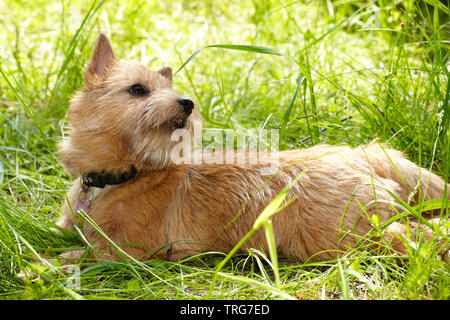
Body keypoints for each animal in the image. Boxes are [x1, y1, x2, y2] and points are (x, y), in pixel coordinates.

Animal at [57, 32, 450, 262]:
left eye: (172, 90)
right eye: (138, 89)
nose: (187, 103)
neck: (123, 176)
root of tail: (366, 153)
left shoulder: (122, 253)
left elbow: (67, 259)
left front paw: (45, 268)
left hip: (353, 235)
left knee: (419, 234)